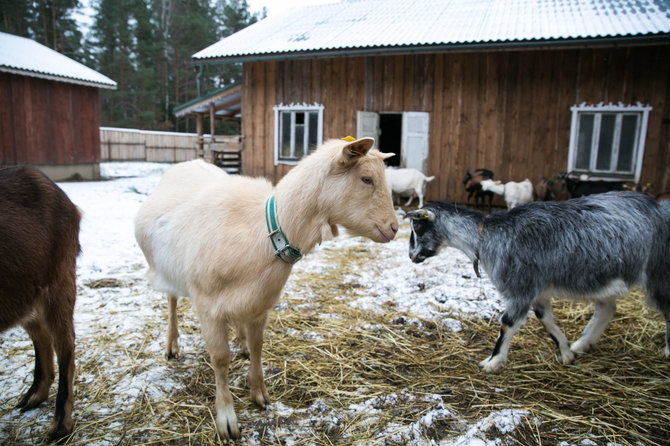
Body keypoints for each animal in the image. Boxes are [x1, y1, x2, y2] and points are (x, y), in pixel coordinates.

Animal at [0, 166, 80, 442]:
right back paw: (34, 394)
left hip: (57, 280)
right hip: (26, 291)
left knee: (64, 343)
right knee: (42, 336)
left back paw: (59, 425)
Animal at [135, 139, 400, 440]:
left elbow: (258, 346)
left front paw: (259, 393)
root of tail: (188, 163)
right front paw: (227, 418)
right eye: (366, 178)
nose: (394, 228)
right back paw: (172, 345)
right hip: (168, 271)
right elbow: (220, 359)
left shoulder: (260, 304)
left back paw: (239, 342)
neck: (266, 234)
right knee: (171, 301)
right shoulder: (207, 306)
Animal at [406, 192, 670, 372]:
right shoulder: (538, 291)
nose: (411, 255)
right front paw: (565, 352)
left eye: (417, 225)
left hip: (657, 270)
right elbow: (545, 319)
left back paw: (667, 350)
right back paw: (581, 344)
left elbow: (507, 324)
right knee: (607, 309)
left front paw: (493, 362)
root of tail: (658, 207)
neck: (487, 236)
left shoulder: (521, 287)